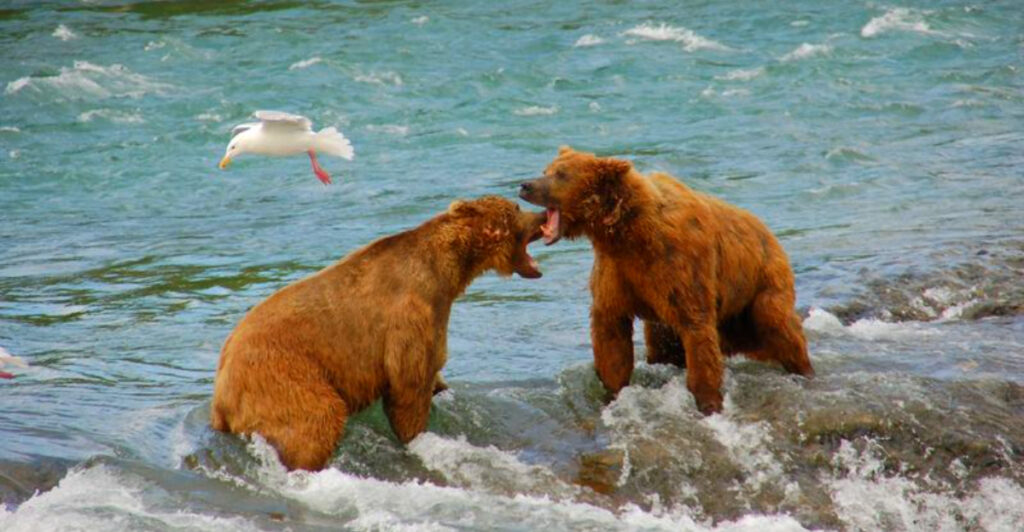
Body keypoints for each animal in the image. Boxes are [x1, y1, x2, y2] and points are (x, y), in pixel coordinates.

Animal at [211, 196, 546, 470]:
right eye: (517, 208)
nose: (543, 215)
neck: (448, 270)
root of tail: (220, 395)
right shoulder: (410, 316)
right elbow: (408, 385)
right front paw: (416, 435)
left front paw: (441, 388)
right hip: (281, 374)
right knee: (317, 418)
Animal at [519, 146, 814, 414]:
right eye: (546, 170)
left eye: (561, 174)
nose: (525, 185)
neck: (629, 234)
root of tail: (767, 230)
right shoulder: (617, 274)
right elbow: (611, 336)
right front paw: (612, 391)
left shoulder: (679, 267)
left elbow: (698, 332)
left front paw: (708, 403)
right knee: (664, 348)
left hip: (762, 281)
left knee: (777, 323)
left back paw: (804, 369)